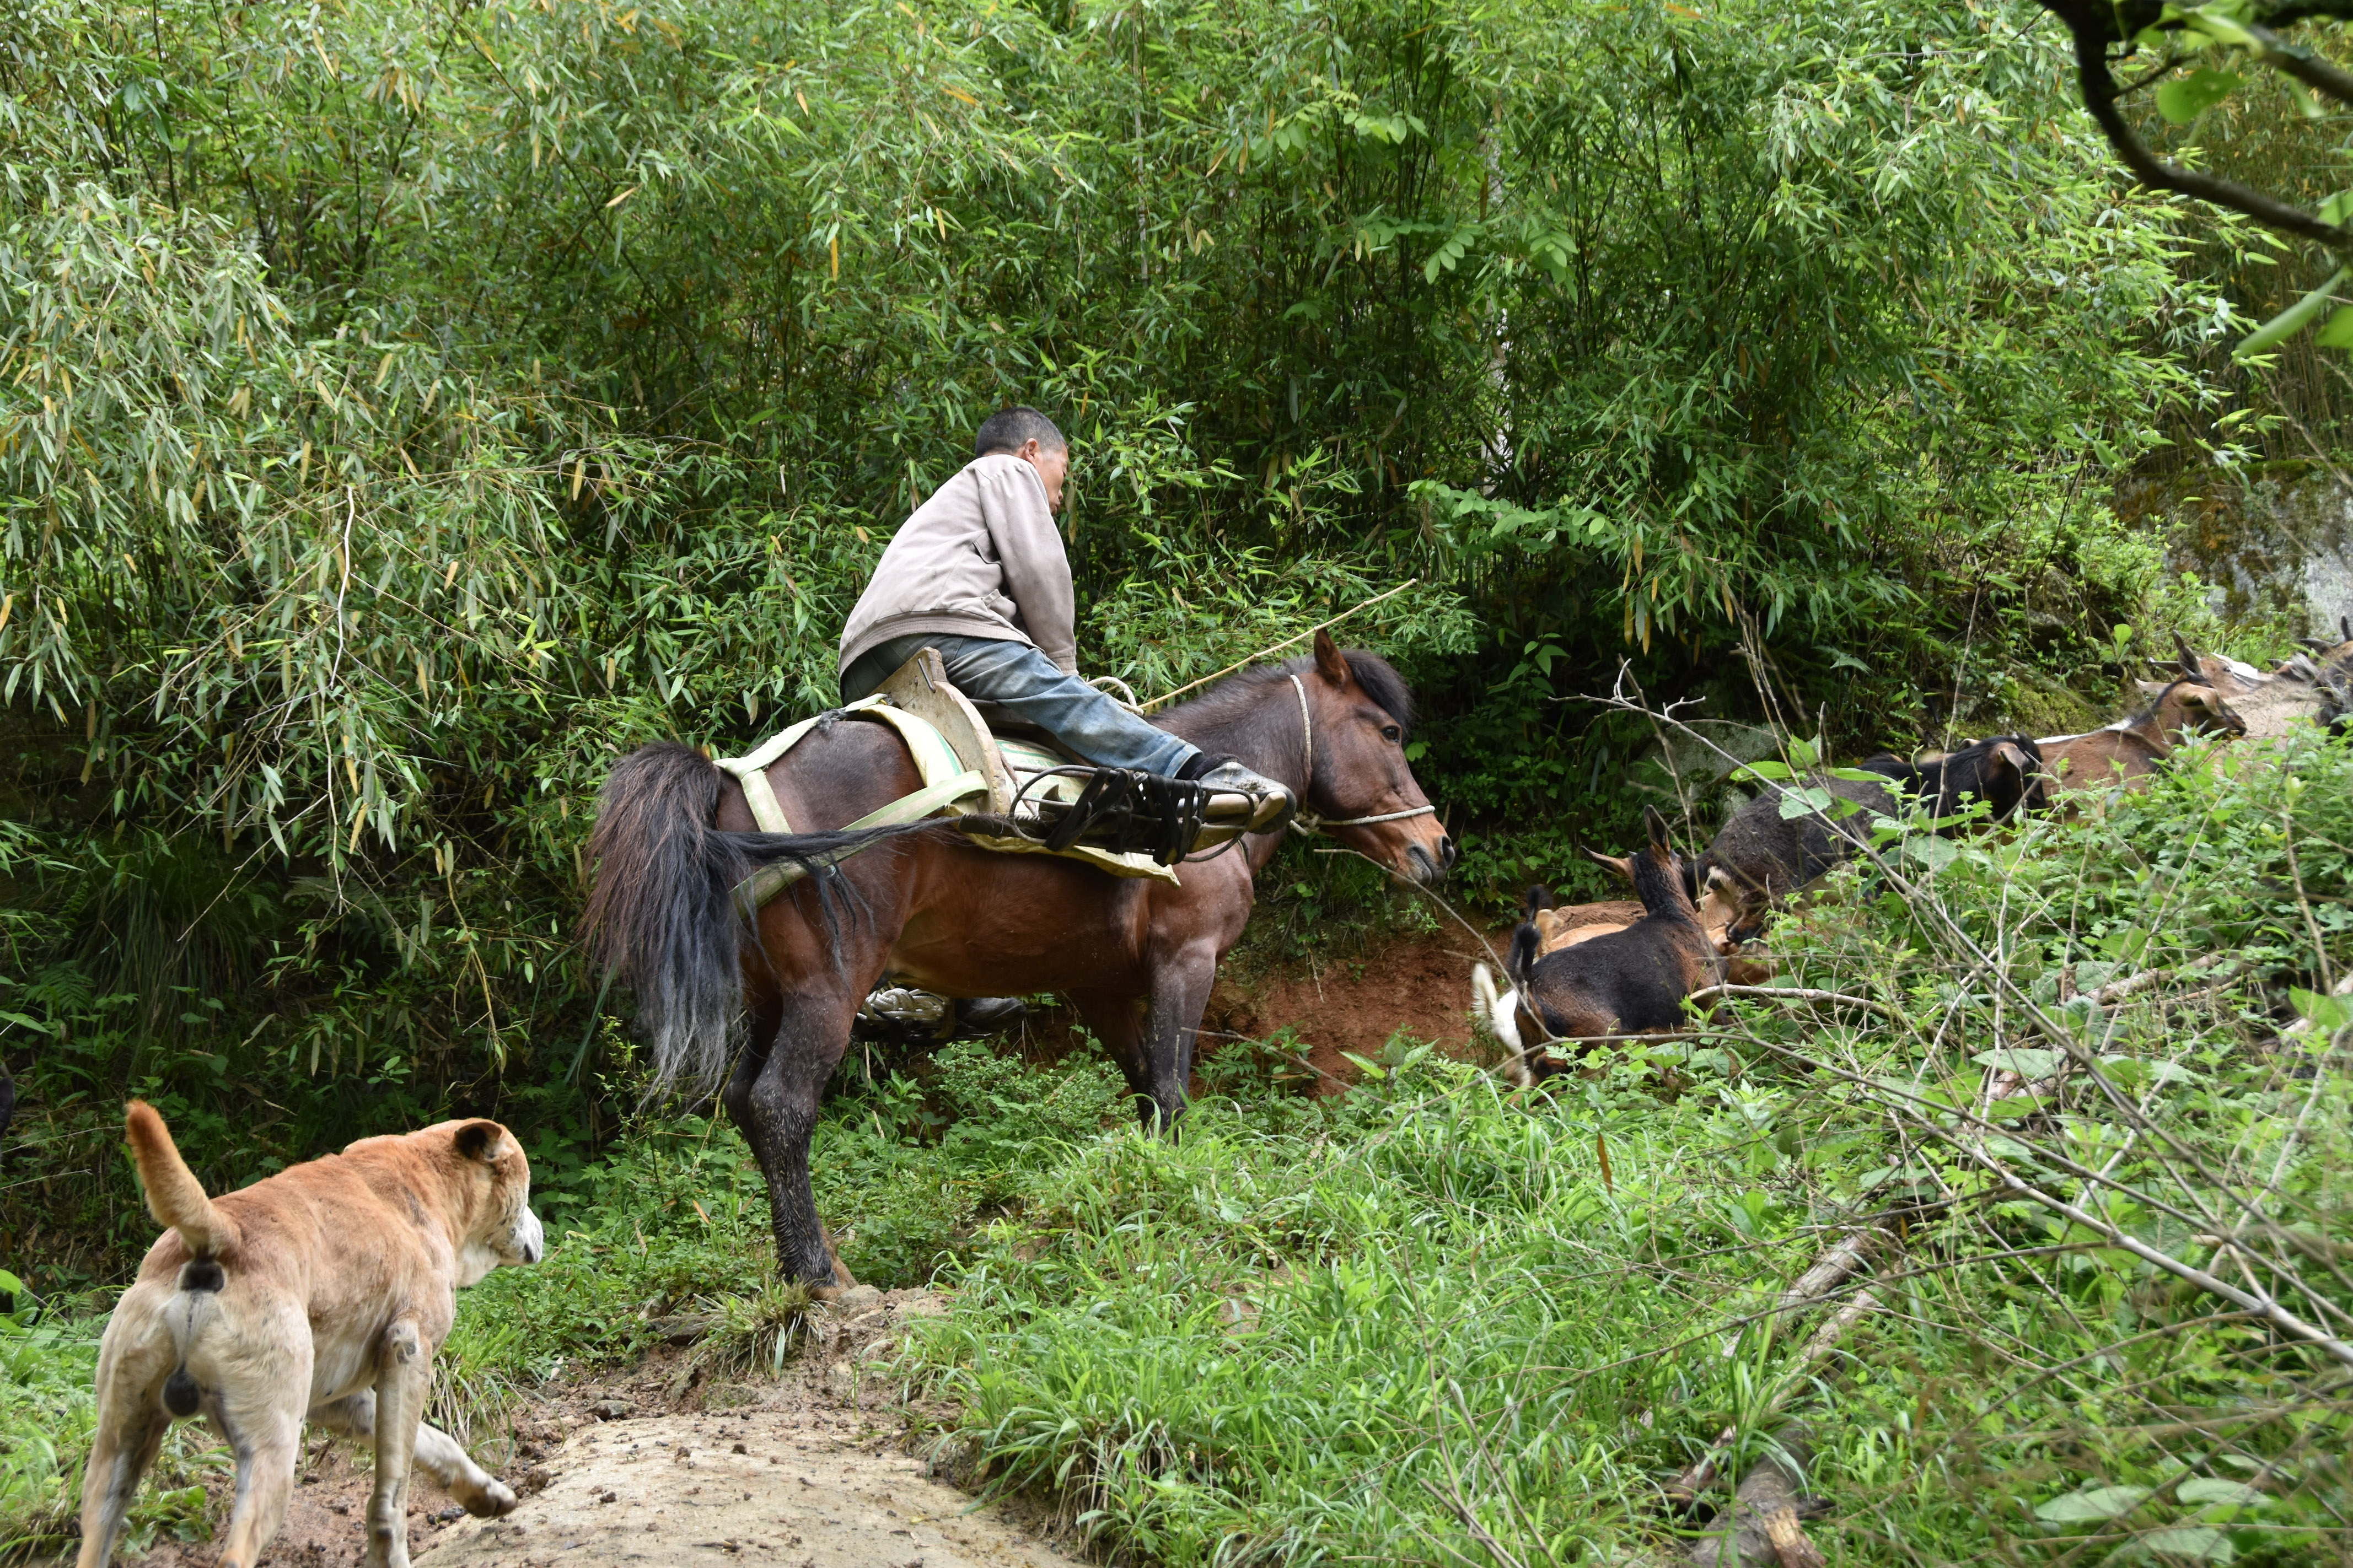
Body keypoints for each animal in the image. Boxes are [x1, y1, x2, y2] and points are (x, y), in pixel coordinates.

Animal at [78, 1104, 546, 1568]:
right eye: (526, 1190)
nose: (543, 1232)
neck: (429, 1178)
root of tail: (217, 1236)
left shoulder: (337, 1399)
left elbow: (437, 1442)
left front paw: (486, 1493)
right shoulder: (409, 1353)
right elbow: (392, 1496)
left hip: (118, 1453)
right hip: (271, 1452)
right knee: (237, 1552)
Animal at [583, 634, 1449, 1288]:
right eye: (1387, 732)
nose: (1436, 847)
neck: (1205, 807)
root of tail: (730, 785)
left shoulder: (1099, 987)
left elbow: (1145, 1093)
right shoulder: (1187, 959)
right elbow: (1173, 1094)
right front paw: (1183, 1204)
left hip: (772, 995)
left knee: (742, 1103)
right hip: (827, 990)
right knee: (780, 1107)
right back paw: (820, 1277)